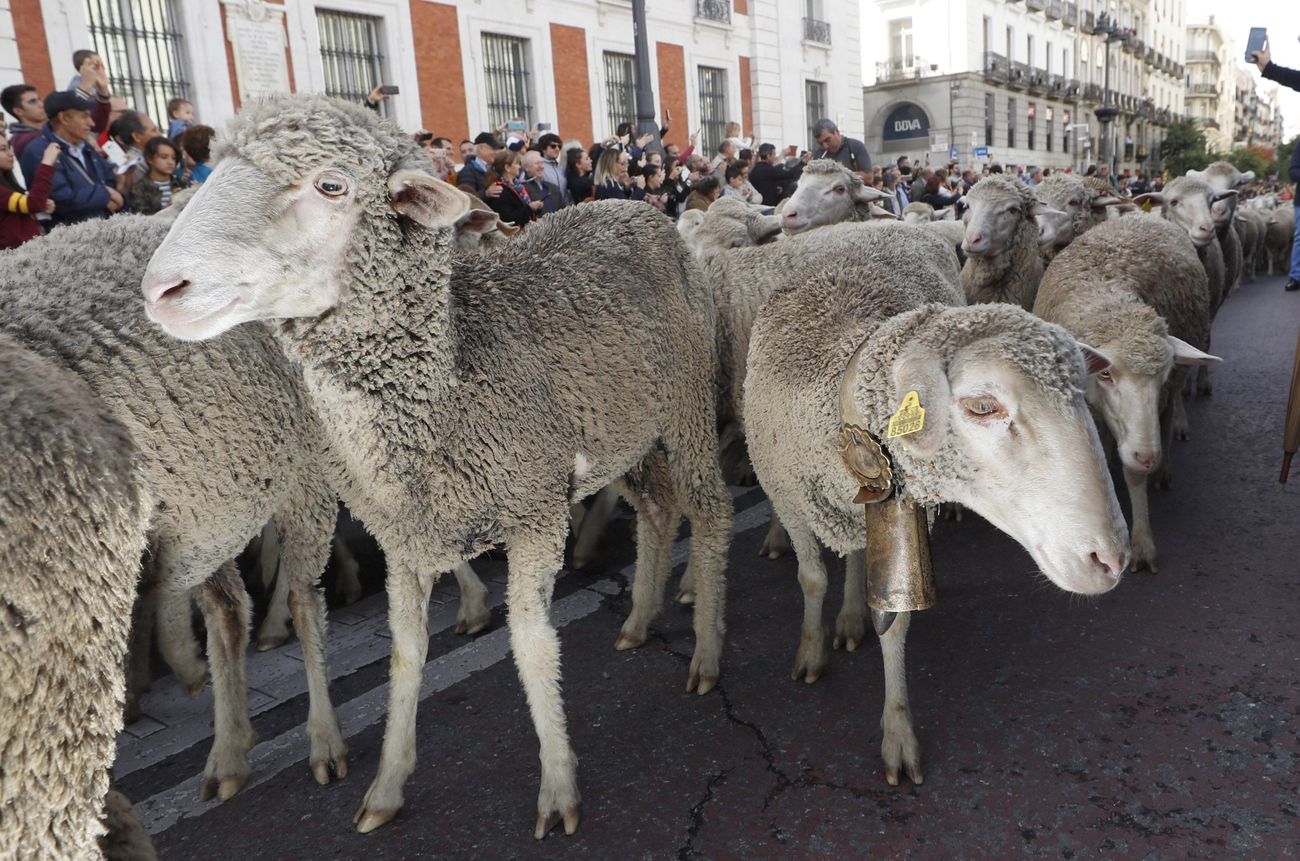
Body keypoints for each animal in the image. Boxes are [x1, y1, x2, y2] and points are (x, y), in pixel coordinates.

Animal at [0, 211, 351, 806]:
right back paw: (228, 749)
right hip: (210, 499)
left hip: (303, 468)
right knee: (229, 610)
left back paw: (324, 741)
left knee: (304, 599)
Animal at [142, 96, 738, 842]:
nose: (161, 288)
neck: (449, 382)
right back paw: (637, 620)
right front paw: (385, 787)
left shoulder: (534, 511)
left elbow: (532, 642)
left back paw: (706, 653)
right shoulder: (405, 536)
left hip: (685, 402)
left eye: (331, 185)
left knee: (708, 508)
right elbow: (406, 651)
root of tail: (632, 208)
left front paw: (558, 788)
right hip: (618, 432)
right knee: (657, 508)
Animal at [743, 222, 1128, 790]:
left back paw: (852, 617)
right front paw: (810, 650)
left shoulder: (900, 513)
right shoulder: (791, 502)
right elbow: (811, 580)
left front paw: (898, 734)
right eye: (983, 406)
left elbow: (896, 620)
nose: (1111, 560)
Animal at [1029, 214, 1222, 572]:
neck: (1108, 301)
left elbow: (1133, 475)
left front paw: (1142, 543)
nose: (1148, 457)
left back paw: (1164, 467)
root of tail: (1141, 214)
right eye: (1105, 373)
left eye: (1162, 375)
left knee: (1169, 415)